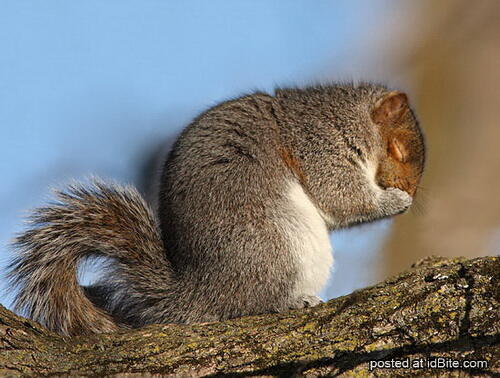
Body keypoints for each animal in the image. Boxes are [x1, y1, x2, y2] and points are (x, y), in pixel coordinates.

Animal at [5, 83, 424, 336]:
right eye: (399, 150)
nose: (410, 192)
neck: (342, 119)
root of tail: (198, 294)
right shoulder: (318, 147)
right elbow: (343, 196)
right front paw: (394, 202)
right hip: (276, 244)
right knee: (247, 306)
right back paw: (290, 301)